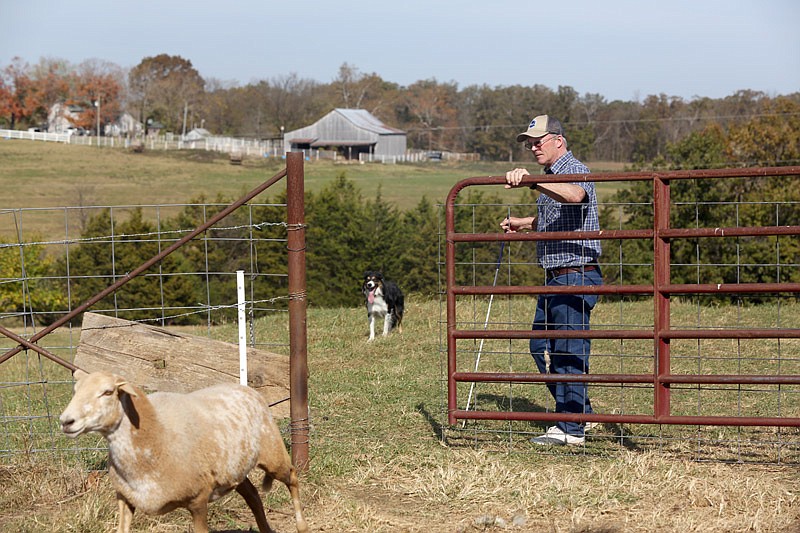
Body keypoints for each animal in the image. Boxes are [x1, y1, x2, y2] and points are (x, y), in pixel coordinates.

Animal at [58, 370, 310, 532]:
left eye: (108, 392)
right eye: (75, 390)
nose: (66, 421)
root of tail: (246, 388)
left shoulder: (198, 500)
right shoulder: (124, 497)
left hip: (272, 452)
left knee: (292, 477)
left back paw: (302, 525)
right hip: (234, 471)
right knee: (253, 495)